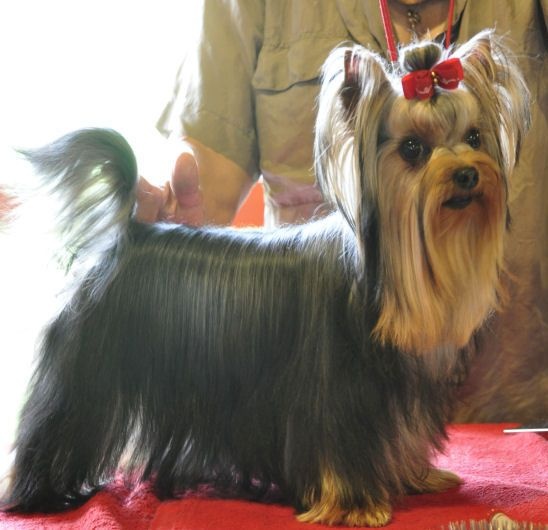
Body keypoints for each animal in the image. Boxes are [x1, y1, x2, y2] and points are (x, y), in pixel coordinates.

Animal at [1, 30, 529, 527]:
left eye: (475, 138)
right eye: (413, 149)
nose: (467, 174)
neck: (381, 277)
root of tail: (126, 234)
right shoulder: (335, 391)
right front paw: (357, 506)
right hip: (88, 371)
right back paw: (43, 494)